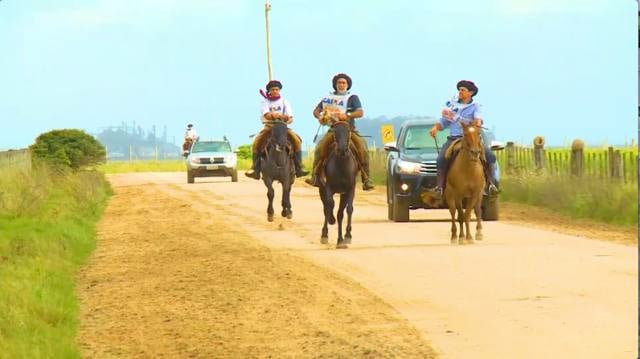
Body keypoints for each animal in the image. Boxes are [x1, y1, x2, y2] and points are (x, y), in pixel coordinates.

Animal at [318, 120, 358, 248]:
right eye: (335, 131)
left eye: (348, 131)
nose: (342, 150)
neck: (341, 167)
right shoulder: (328, 187)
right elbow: (330, 204)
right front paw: (331, 220)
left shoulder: (350, 189)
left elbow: (348, 210)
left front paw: (347, 236)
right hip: (321, 189)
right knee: (326, 207)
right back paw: (324, 234)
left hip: (343, 194)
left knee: (340, 213)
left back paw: (340, 239)